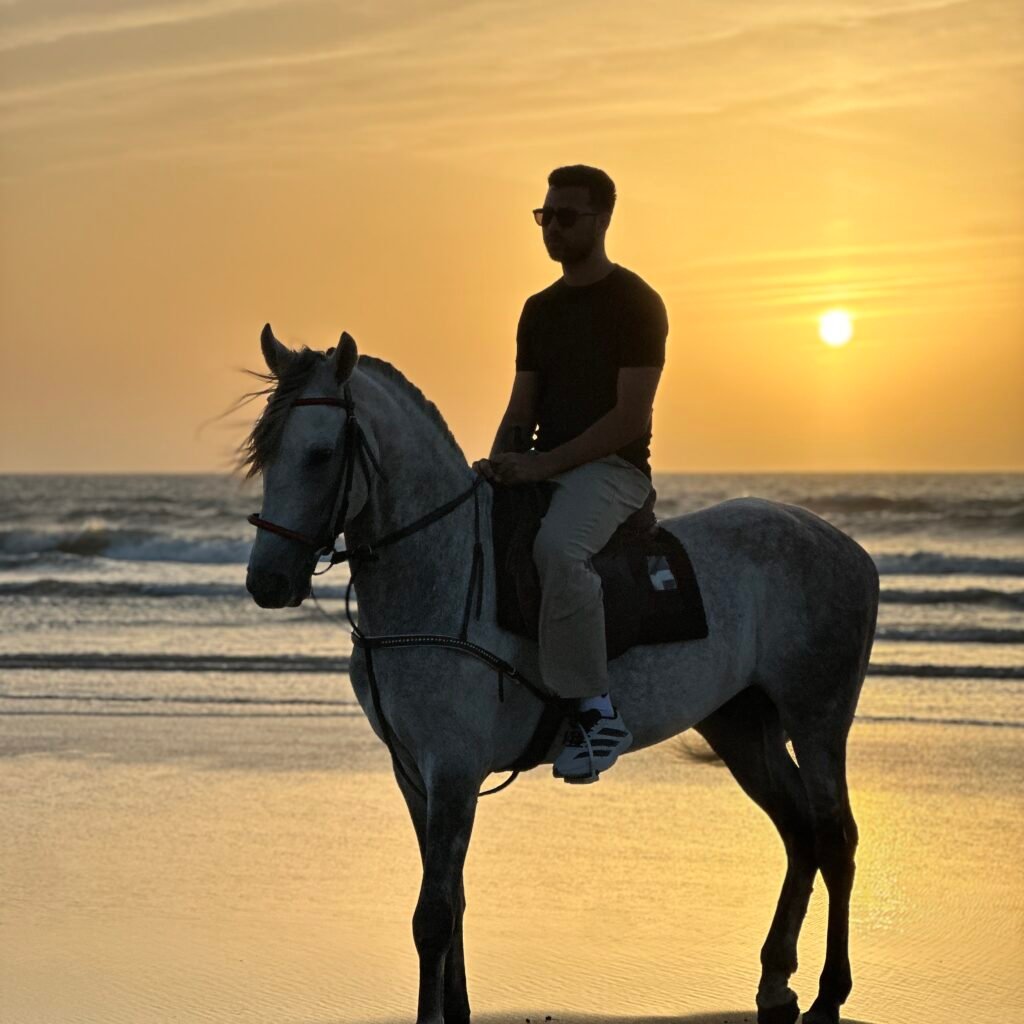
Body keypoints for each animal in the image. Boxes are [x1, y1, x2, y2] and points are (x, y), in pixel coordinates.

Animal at [243, 324, 880, 1024]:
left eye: (321, 454)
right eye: (265, 454)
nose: (267, 582)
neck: (442, 569)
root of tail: (845, 546)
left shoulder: (453, 768)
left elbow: (433, 914)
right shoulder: (414, 772)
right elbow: (451, 901)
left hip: (817, 722)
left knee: (835, 839)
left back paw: (829, 993)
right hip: (741, 728)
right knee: (799, 834)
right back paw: (775, 982)